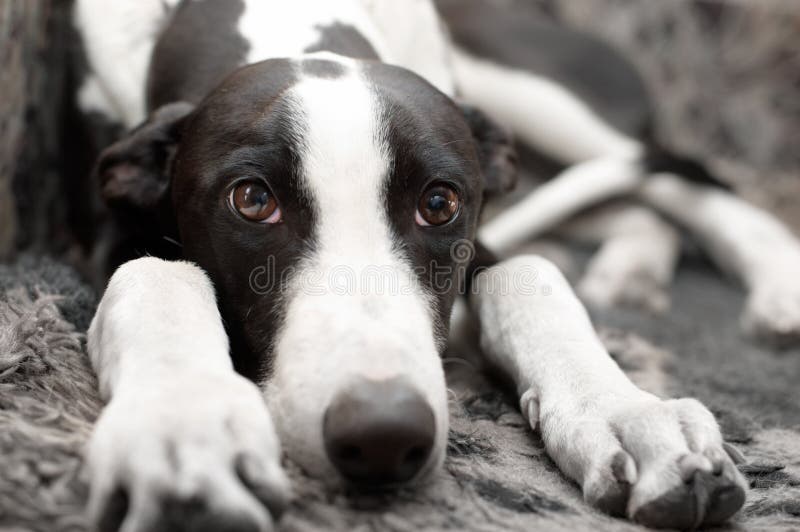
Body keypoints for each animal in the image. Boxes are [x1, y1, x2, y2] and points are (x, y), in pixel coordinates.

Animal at [72, 0, 800, 528]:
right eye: (251, 200)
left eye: (440, 202)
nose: (383, 436)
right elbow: (155, 274)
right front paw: (183, 425)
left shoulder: (480, 234)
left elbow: (531, 275)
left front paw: (629, 414)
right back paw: (634, 267)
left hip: (538, 94)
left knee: (676, 174)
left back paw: (775, 280)